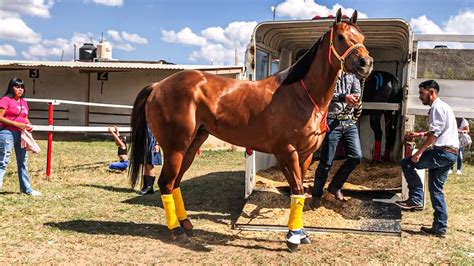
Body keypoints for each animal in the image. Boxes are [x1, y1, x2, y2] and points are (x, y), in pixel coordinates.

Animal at [130, 9, 374, 252]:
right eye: (341, 37)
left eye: (362, 37)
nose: (366, 63)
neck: (300, 95)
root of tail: (158, 86)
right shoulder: (286, 152)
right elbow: (296, 190)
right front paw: (293, 238)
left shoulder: (304, 156)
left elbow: (300, 192)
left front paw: (301, 234)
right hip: (175, 148)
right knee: (165, 183)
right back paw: (177, 231)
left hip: (191, 146)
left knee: (175, 183)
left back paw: (187, 225)